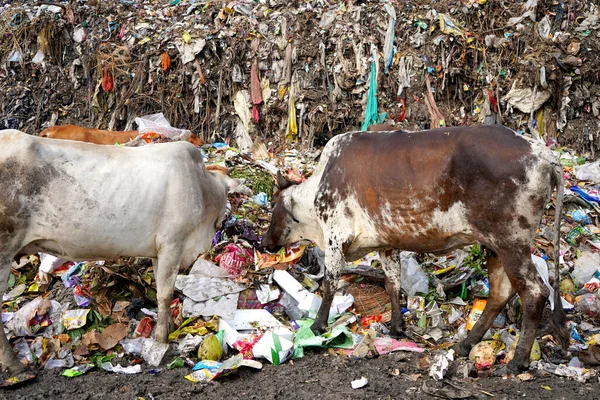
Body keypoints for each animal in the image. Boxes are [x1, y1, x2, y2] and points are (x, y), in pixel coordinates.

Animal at [0, 130, 237, 376]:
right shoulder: (173, 243)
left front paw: (169, 326)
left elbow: (161, 290)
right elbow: (165, 294)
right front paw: (161, 341)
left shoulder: (158, 251)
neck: (202, 188)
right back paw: (14, 364)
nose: (226, 221)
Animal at [262, 125, 568, 376]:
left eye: (274, 205)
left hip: (511, 242)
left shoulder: (336, 237)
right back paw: (465, 345)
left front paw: (317, 326)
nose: (264, 242)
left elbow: (329, 285)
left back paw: (517, 361)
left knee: (534, 292)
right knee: (500, 293)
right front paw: (397, 326)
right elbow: (393, 284)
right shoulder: (386, 244)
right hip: (494, 246)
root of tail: (542, 153)